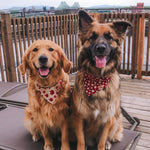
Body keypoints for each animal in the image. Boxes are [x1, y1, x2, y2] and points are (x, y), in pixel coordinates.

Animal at [72, 10, 132, 150]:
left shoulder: (108, 119)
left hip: (116, 118)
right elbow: (81, 141)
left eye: (109, 37)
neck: (97, 79)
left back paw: (108, 143)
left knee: (109, 136)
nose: (100, 48)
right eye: (92, 37)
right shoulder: (79, 117)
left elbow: (102, 140)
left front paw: (103, 144)